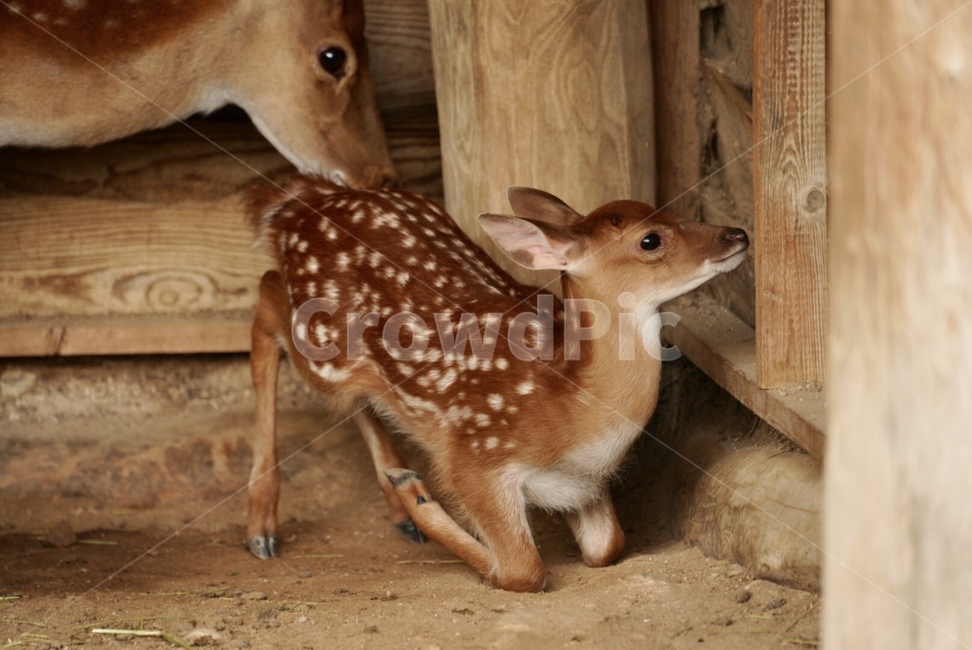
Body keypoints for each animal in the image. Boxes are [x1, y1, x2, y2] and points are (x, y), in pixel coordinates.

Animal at [245, 176, 749, 592]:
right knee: (266, 298)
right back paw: (263, 527)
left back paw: (394, 501)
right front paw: (417, 495)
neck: (571, 408)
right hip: (321, 343)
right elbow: (523, 571)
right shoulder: (476, 457)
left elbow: (608, 547)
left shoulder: (582, 484)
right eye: (650, 239)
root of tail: (303, 202)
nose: (738, 234)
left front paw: (408, 494)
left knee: (359, 390)